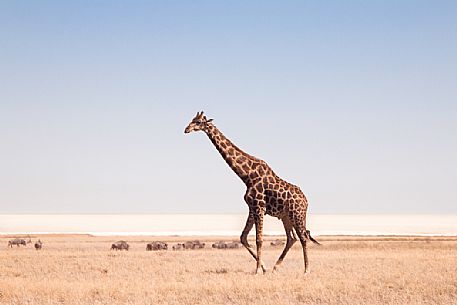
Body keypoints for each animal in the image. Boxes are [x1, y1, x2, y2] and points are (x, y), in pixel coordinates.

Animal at [183, 111, 318, 274]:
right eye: (192, 120)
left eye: (198, 122)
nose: (186, 129)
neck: (247, 176)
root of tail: (306, 201)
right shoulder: (252, 208)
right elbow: (243, 237)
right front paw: (264, 267)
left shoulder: (259, 207)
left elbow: (259, 239)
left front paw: (257, 270)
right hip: (286, 217)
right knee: (292, 238)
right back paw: (275, 267)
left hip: (297, 214)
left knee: (303, 237)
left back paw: (306, 270)